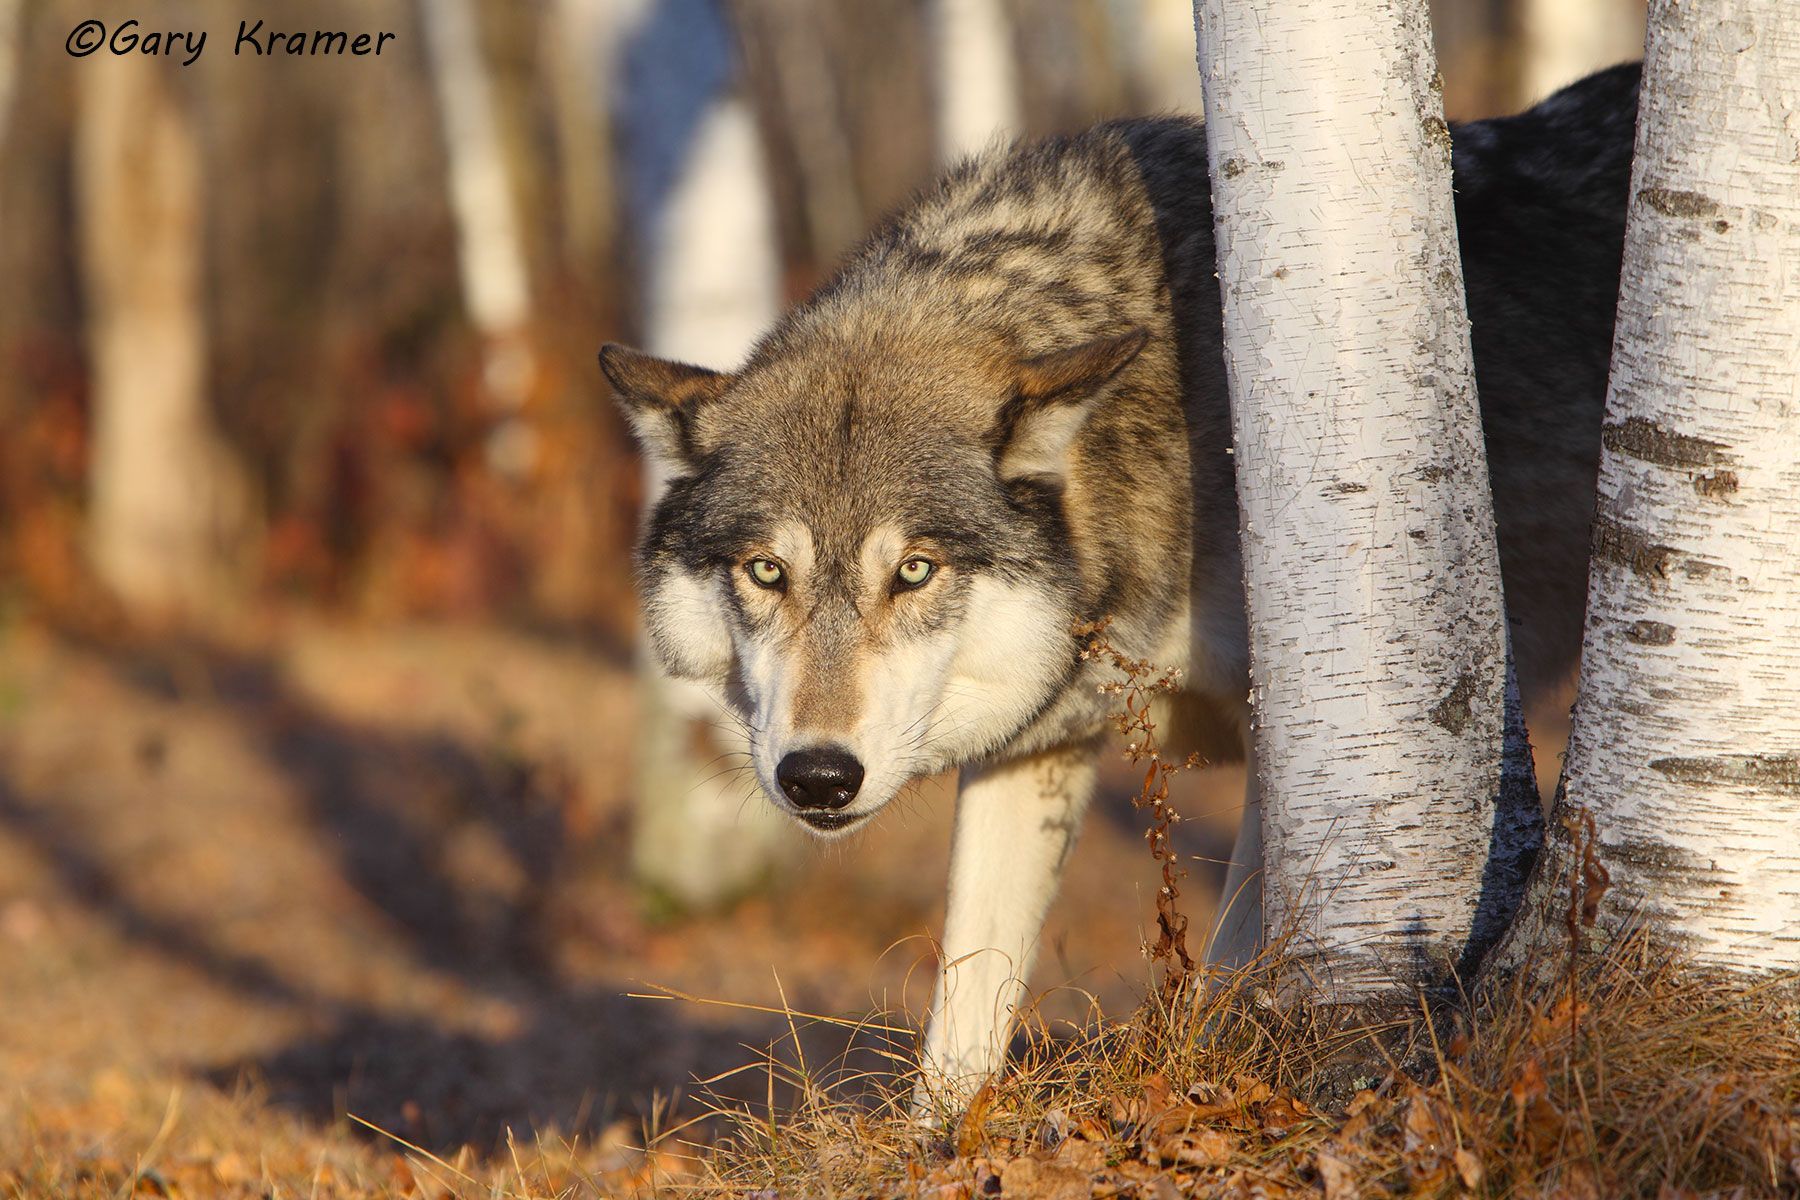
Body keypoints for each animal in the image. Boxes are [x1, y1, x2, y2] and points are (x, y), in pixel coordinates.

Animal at [601, 64, 1640, 1106]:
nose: (818, 776)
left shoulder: (1276, 750)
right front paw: (949, 1133)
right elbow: (961, 1022)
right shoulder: (1033, 752)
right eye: (767, 571)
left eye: (913, 571)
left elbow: (1221, 974)